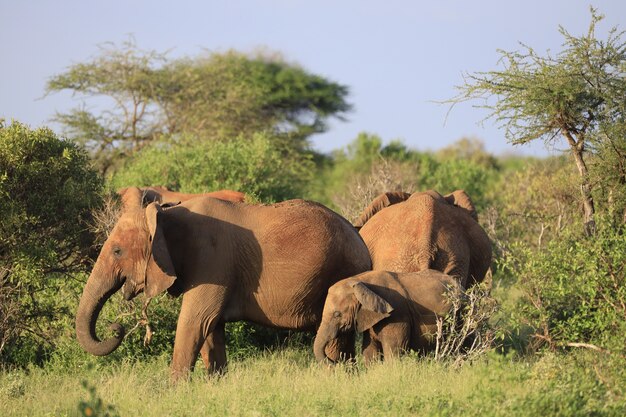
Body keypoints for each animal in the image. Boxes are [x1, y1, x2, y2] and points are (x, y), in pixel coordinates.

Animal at [77, 187, 370, 378]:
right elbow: (210, 328)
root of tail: (361, 239)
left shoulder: (212, 260)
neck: (166, 215)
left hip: (342, 271)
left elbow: (195, 321)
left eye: (117, 251)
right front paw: (214, 384)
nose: (116, 328)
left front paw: (174, 392)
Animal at [312, 268, 458, 362]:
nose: (335, 363)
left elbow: (394, 352)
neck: (360, 280)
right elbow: (369, 352)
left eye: (337, 314)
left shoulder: (397, 316)